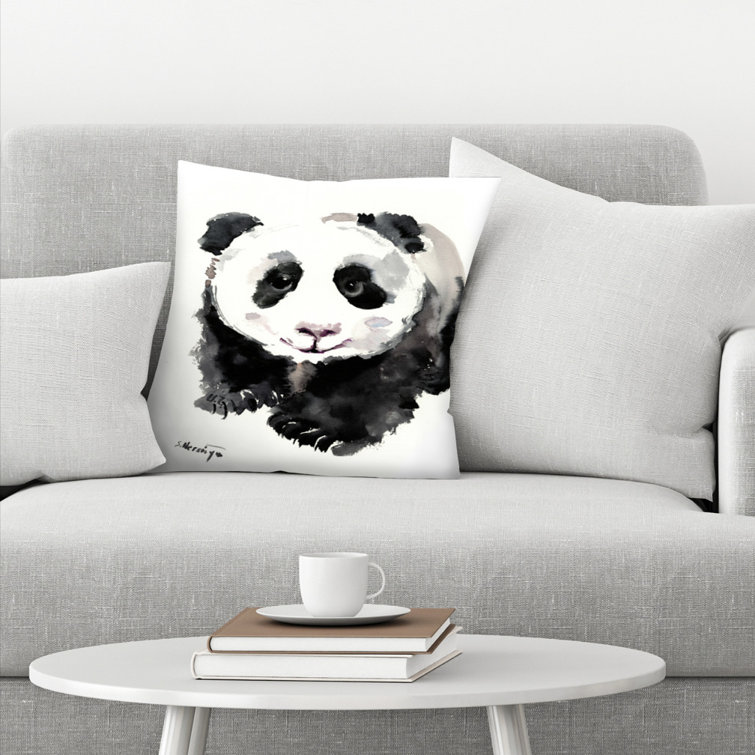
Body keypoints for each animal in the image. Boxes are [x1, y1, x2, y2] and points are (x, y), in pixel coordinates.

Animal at [192, 210, 465, 456]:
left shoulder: (412, 330)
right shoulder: (227, 328)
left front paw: (308, 426)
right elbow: (232, 349)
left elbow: (374, 382)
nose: (317, 330)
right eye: (281, 281)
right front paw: (235, 395)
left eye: (353, 285)